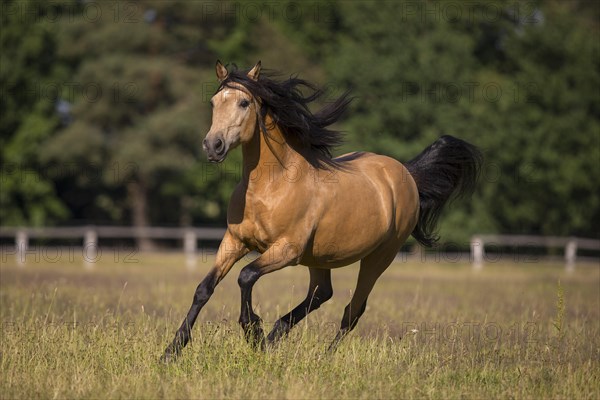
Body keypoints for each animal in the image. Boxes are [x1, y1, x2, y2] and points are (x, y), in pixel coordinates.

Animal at [162, 60, 486, 362]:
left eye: (244, 102)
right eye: (214, 102)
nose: (212, 146)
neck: (271, 186)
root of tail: (405, 174)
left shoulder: (286, 250)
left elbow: (246, 275)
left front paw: (252, 331)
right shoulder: (234, 241)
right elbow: (204, 288)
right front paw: (171, 351)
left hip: (379, 257)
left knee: (352, 310)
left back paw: (321, 355)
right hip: (318, 257)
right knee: (321, 293)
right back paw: (273, 341)